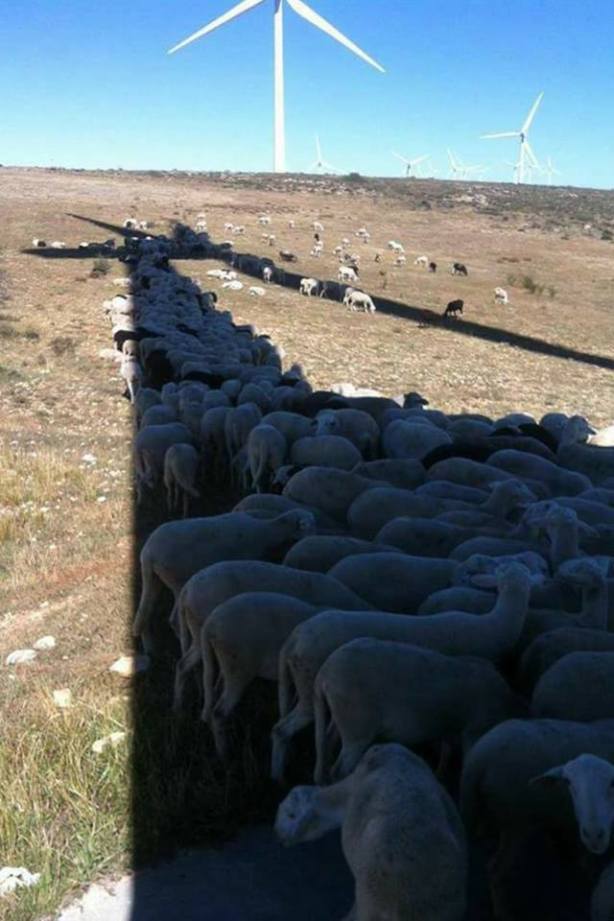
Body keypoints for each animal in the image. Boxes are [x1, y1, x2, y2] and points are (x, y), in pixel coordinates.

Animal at [133, 510, 316, 655]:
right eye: (307, 526)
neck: (266, 531)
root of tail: (148, 552)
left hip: (155, 577)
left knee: (146, 610)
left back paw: (150, 647)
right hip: (177, 580)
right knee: (174, 620)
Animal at [313, 638, 520, 783]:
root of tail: (324, 672)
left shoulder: (448, 726)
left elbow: (447, 749)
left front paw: (440, 774)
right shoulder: (474, 727)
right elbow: (467, 754)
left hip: (341, 716)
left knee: (327, 741)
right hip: (357, 723)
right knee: (341, 768)